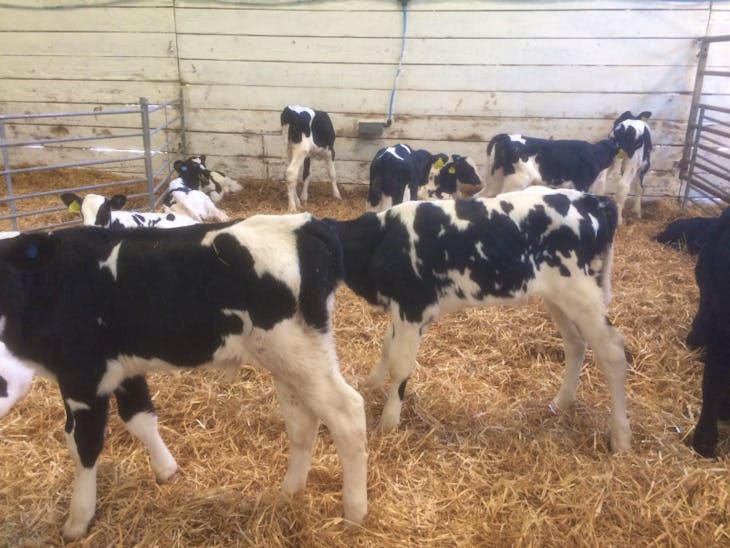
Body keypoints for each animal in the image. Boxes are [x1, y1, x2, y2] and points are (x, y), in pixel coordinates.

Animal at [0, 215, 367, 539]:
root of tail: (306, 224)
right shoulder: (123, 370)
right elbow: (140, 418)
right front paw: (166, 470)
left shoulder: (82, 377)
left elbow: (83, 445)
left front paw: (78, 519)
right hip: (290, 361)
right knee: (302, 421)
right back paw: (290, 492)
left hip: (297, 353)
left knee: (347, 412)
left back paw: (355, 512)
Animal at [326, 187, 631, 453]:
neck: (382, 239)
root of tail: (594, 200)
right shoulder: (402, 310)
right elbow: (386, 347)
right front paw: (371, 383)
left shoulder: (412, 307)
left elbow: (400, 365)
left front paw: (388, 421)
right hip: (558, 297)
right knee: (576, 344)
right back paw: (561, 402)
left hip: (580, 294)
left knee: (613, 353)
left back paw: (620, 437)